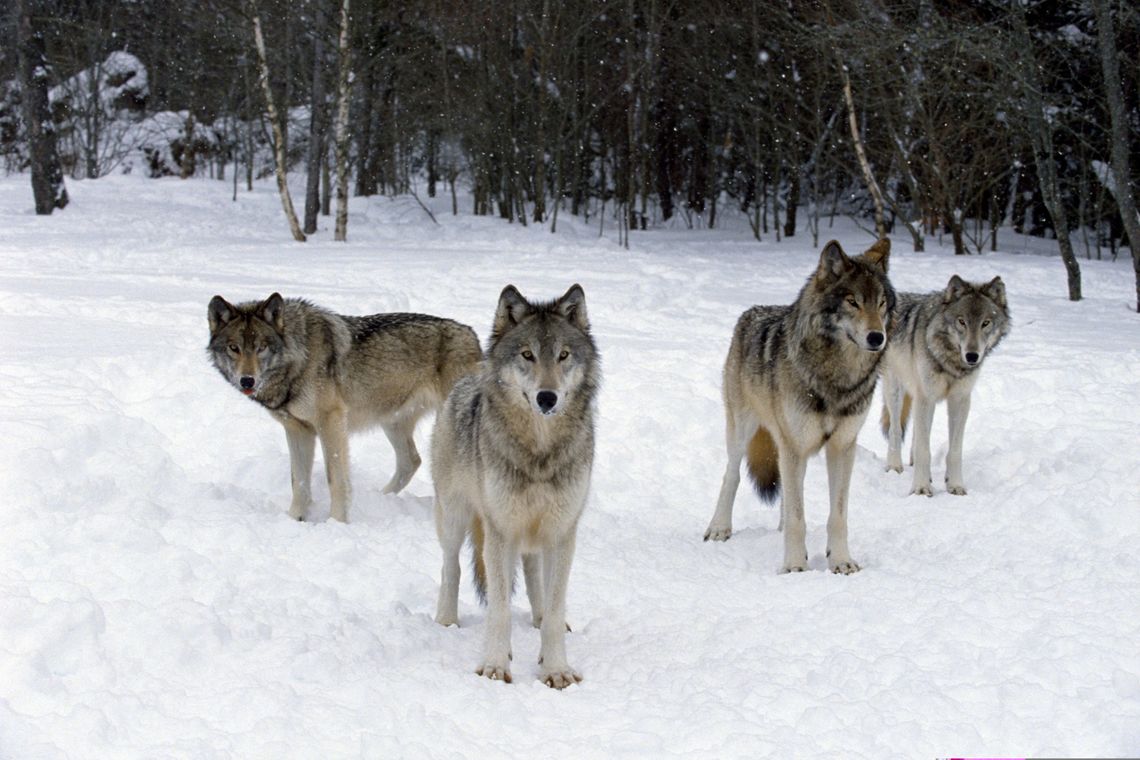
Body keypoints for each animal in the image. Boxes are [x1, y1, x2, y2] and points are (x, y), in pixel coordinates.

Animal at [209, 291, 481, 524]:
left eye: (261, 347)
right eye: (234, 348)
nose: (247, 380)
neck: (298, 358)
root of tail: (472, 335)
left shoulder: (330, 422)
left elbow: (336, 479)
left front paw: (337, 522)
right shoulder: (297, 430)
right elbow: (298, 482)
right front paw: (295, 519)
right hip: (392, 422)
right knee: (411, 461)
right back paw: (381, 498)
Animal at [430, 283, 601, 688]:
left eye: (563, 355)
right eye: (527, 355)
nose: (547, 397)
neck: (539, 452)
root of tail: (468, 377)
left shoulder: (562, 531)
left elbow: (554, 609)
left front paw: (555, 668)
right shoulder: (500, 531)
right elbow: (499, 609)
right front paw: (495, 666)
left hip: (534, 532)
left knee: (534, 574)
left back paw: (536, 619)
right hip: (455, 517)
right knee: (451, 567)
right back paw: (446, 621)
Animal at [697, 240, 893, 574]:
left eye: (880, 303)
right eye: (852, 302)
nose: (877, 337)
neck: (836, 379)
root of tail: (751, 311)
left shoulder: (842, 446)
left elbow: (837, 516)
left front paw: (840, 561)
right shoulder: (795, 446)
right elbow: (798, 518)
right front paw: (794, 566)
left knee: (788, 495)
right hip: (744, 431)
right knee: (732, 476)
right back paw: (719, 528)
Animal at [875, 276, 1012, 496]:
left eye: (985, 323)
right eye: (961, 321)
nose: (972, 356)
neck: (951, 362)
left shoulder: (959, 400)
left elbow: (954, 450)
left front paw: (955, 485)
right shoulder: (926, 397)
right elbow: (924, 449)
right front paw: (921, 488)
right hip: (895, 390)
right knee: (895, 430)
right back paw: (895, 467)